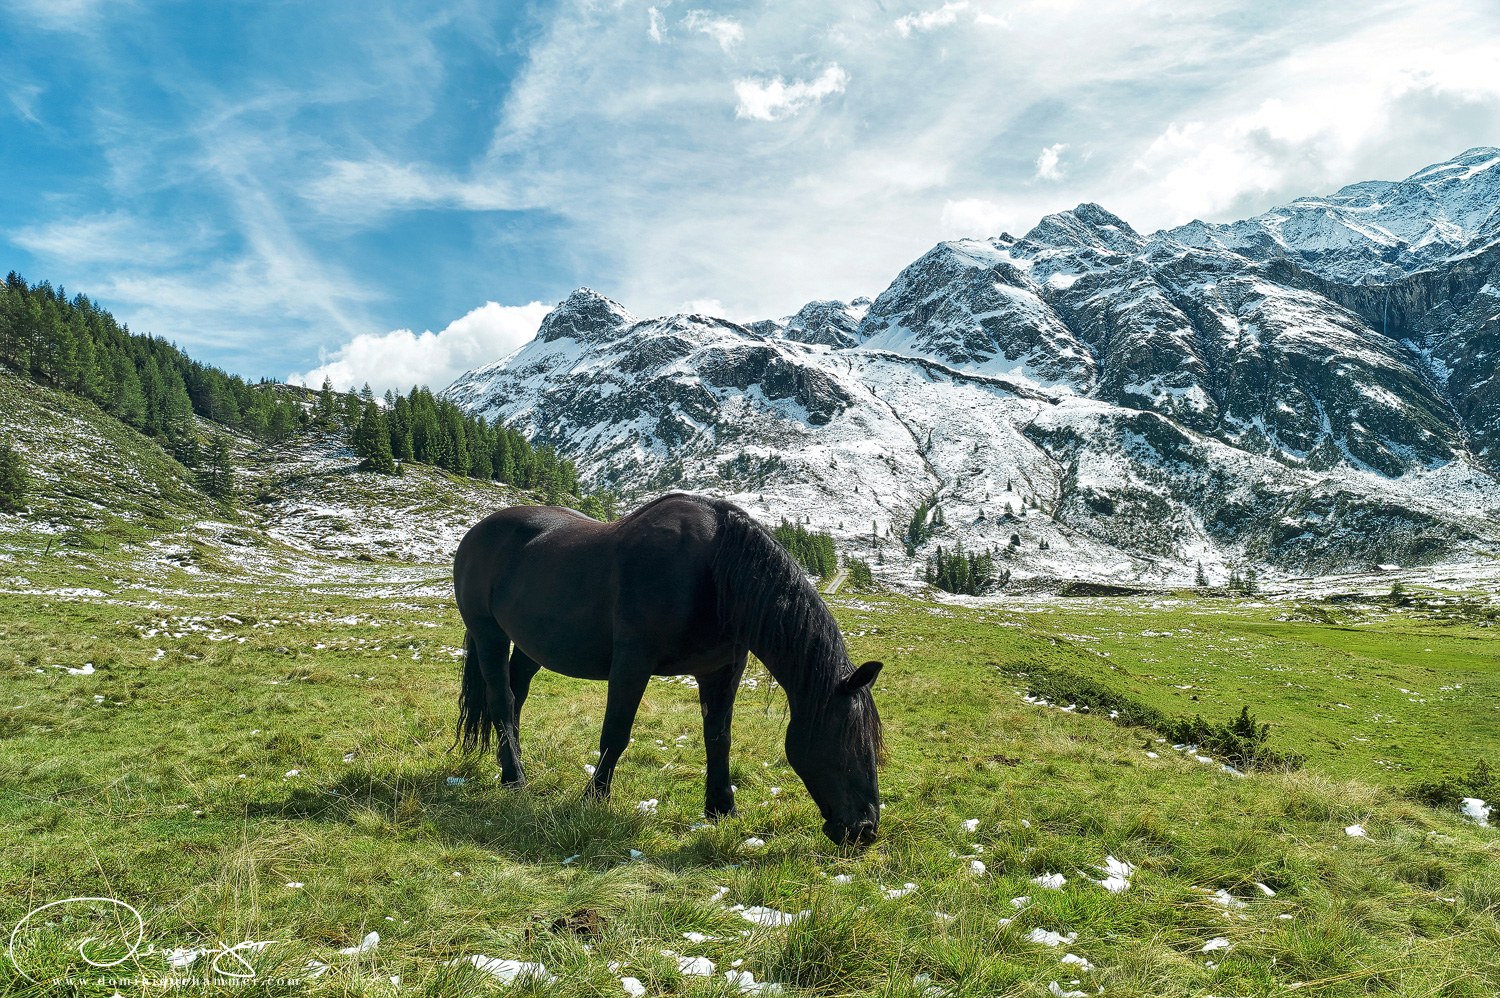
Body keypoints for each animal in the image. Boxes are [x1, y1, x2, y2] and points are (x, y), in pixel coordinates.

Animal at [452, 492, 884, 846]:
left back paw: (511, 767)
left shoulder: (722, 670)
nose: (864, 830)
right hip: (488, 633)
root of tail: (477, 532)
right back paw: (515, 779)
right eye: (850, 742)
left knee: (516, 695)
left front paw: (721, 808)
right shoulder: (632, 663)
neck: (712, 572)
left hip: (532, 646)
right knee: (501, 700)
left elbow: (718, 738)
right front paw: (594, 799)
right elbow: (615, 734)